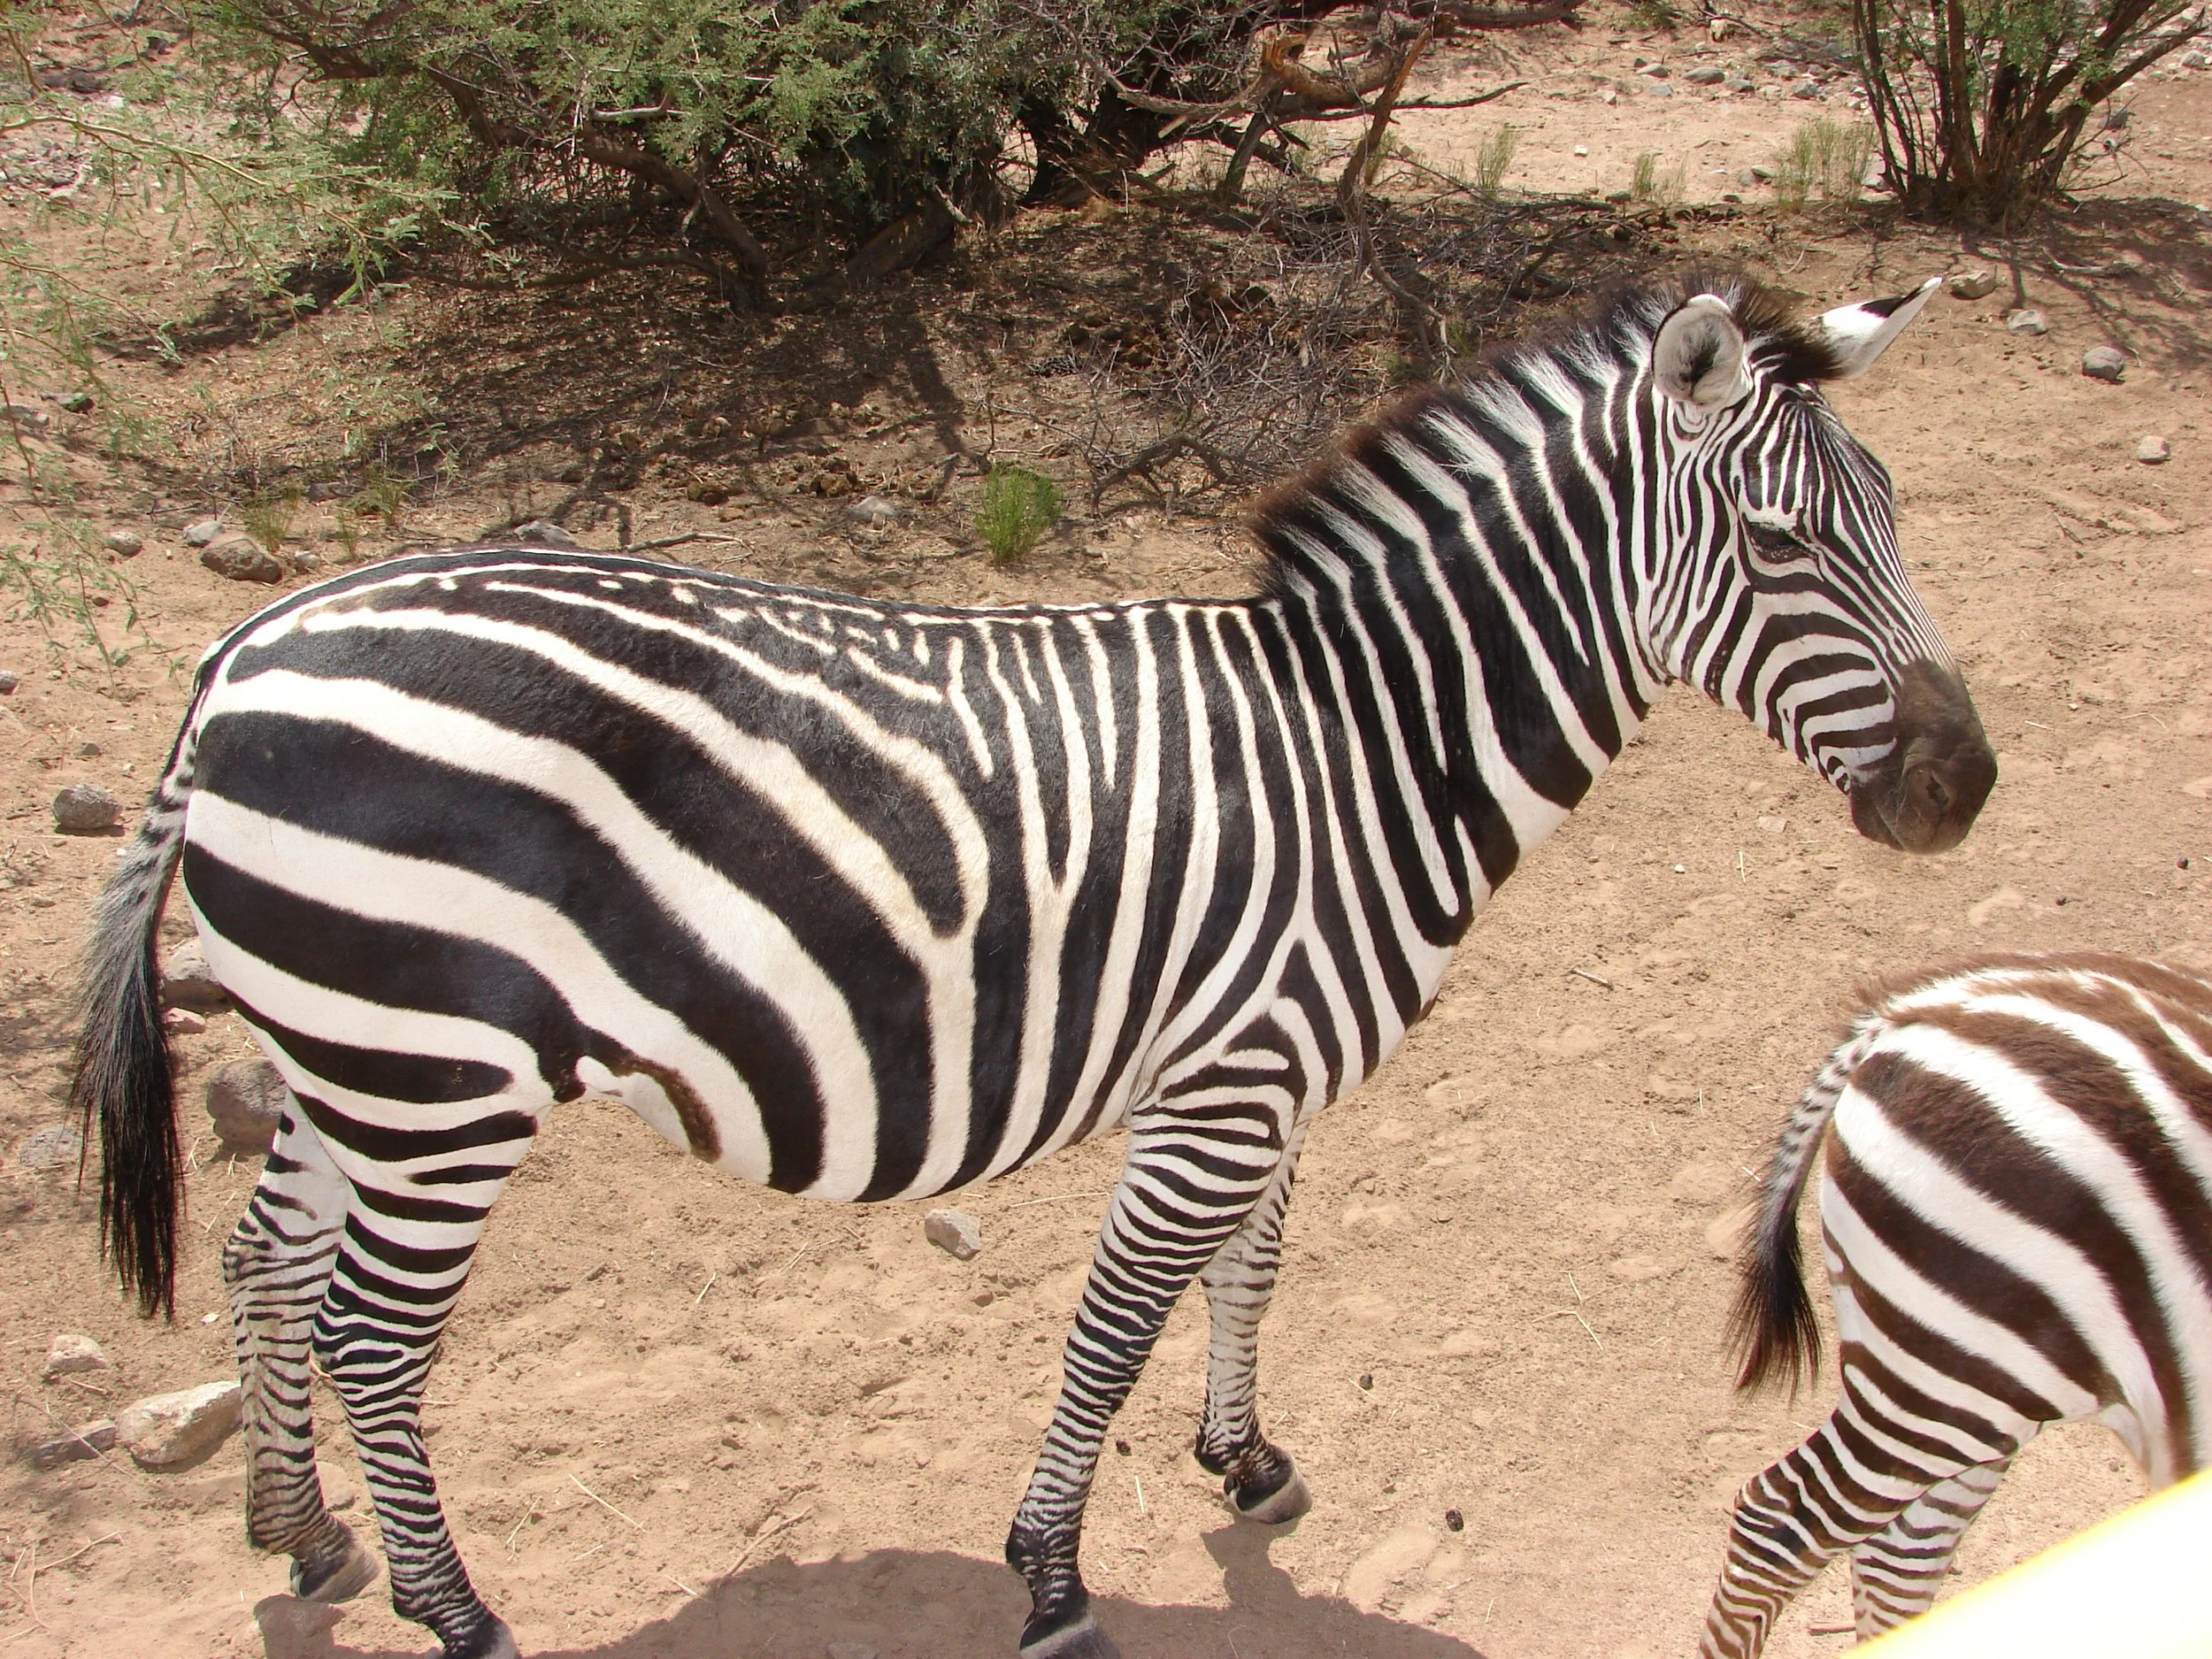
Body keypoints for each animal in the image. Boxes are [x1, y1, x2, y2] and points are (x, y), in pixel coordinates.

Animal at [71, 274, 1993, 1659]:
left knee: (262, 1260)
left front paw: (1240, 1455)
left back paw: (302, 1532)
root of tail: (243, 656)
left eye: (1897, 513)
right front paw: (1054, 1575)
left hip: (350, 1056)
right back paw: (457, 1613)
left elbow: (1251, 1272)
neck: (1365, 744)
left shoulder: (1262, 1070)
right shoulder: (1219, 1090)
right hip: (435, 1078)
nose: (1966, 789)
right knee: (370, 1334)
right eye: (1778, 546)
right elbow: (1115, 1323)